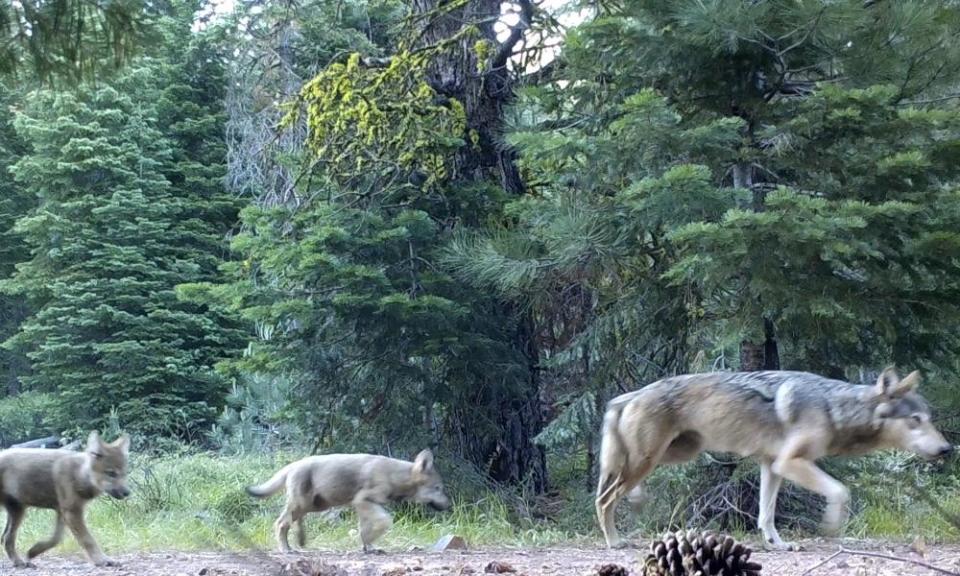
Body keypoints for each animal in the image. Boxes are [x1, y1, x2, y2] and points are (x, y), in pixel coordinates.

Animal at [0, 432, 131, 568]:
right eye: (111, 473)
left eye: (124, 473)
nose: (128, 492)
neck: (78, 474)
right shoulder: (72, 512)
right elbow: (88, 539)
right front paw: (102, 560)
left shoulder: (62, 512)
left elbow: (56, 539)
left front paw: (34, 551)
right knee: (6, 538)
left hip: (18, 512)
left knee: (6, 538)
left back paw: (19, 562)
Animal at [251, 450, 454, 552]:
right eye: (439, 488)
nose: (449, 505)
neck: (394, 476)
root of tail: (293, 464)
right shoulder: (363, 501)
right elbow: (384, 521)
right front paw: (370, 545)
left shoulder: (364, 506)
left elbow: (364, 530)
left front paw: (368, 547)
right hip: (304, 504)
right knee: (281, 523)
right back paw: (287, 549)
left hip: (314, 505)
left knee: (294, 521)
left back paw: (300, 540)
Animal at [592, 368, 952, 548]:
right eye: (915, 420)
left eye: (929, 418)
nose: (947, 449)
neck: (833, 408)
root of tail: (627, 396)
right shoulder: (789, 463)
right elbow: (841, 491)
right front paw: (831, 526)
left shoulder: (772, 465)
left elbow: (766, 514)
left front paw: (776, 544)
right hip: (649, 460)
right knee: (605, 499)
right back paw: (614, 541)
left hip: (675, 454)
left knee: (619, 488)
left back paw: (636, 501)